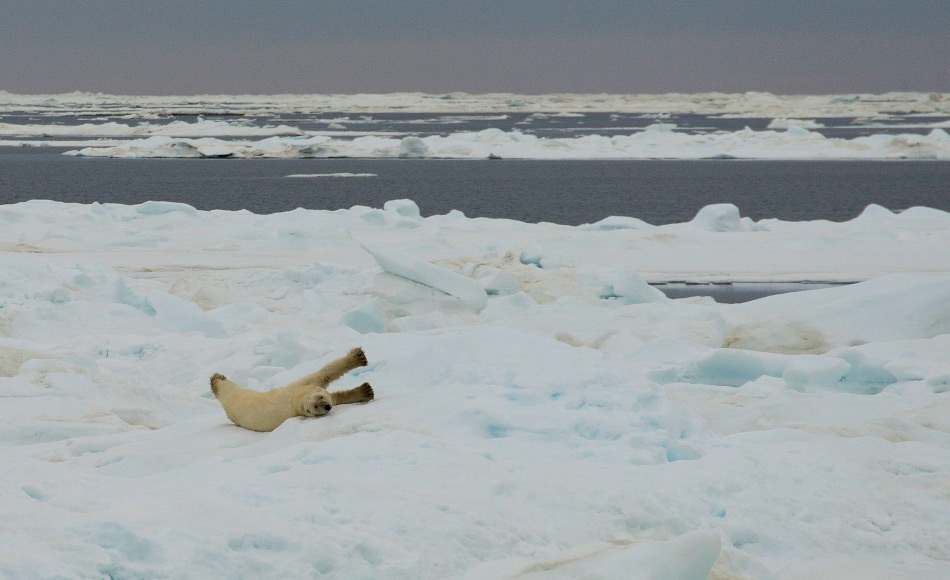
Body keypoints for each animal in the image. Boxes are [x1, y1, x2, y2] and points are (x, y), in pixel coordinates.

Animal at [210, 346, 374, 432]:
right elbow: (324, 374)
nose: (327, 407)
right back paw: (216, 379)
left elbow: (333, 392)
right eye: (315, 407)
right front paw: (358, 357)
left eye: (321, 398)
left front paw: (365, 390)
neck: (297, 403)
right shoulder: (300, 387)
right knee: (227, 390)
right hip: (237, 398)